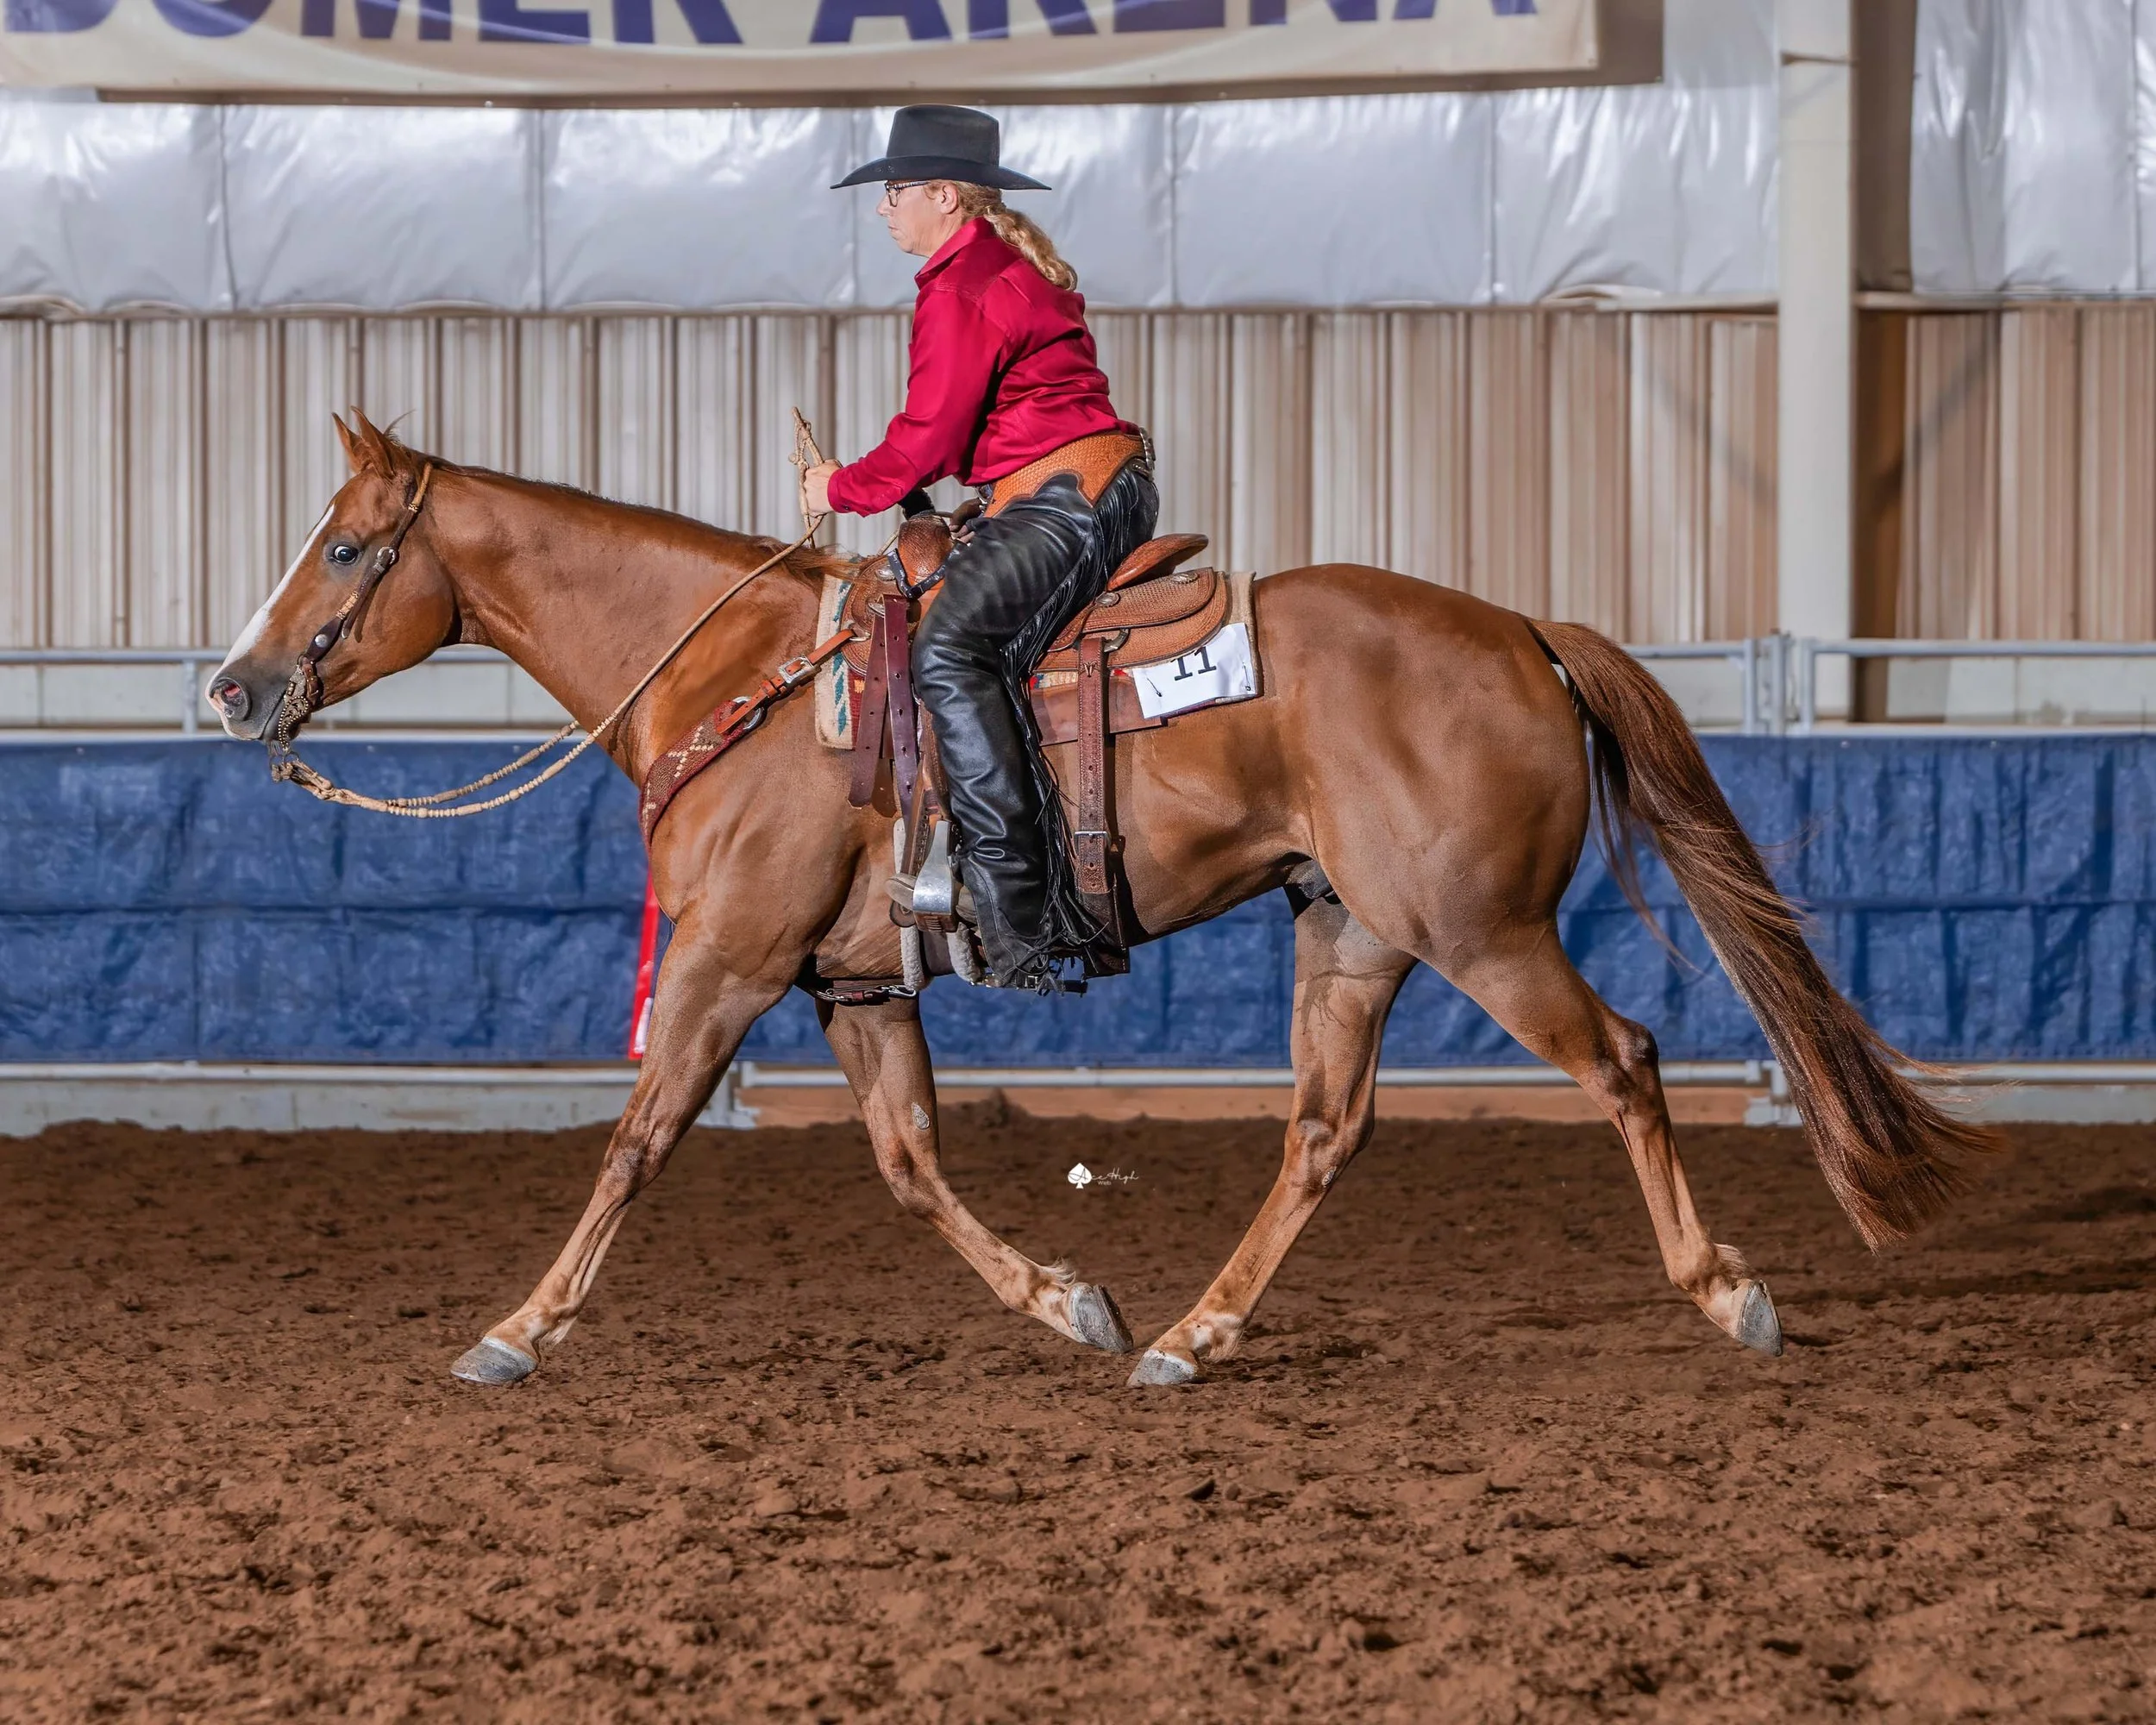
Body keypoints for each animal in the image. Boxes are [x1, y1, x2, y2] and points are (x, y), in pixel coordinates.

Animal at [208, 410, 1997, 1390]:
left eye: (350, 549)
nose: (232, 690)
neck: (741, 679)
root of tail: (1521, 633)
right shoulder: (857, 985)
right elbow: (910, 1164)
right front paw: (1068, 1300)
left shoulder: (725, 964)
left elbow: (638, 1142)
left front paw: (519, 1327)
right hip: (1351, 934)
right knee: (1324, 1131)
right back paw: (1187, 1337)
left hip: (1484, 934)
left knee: (1620, 1059)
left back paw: (1732, 1294)